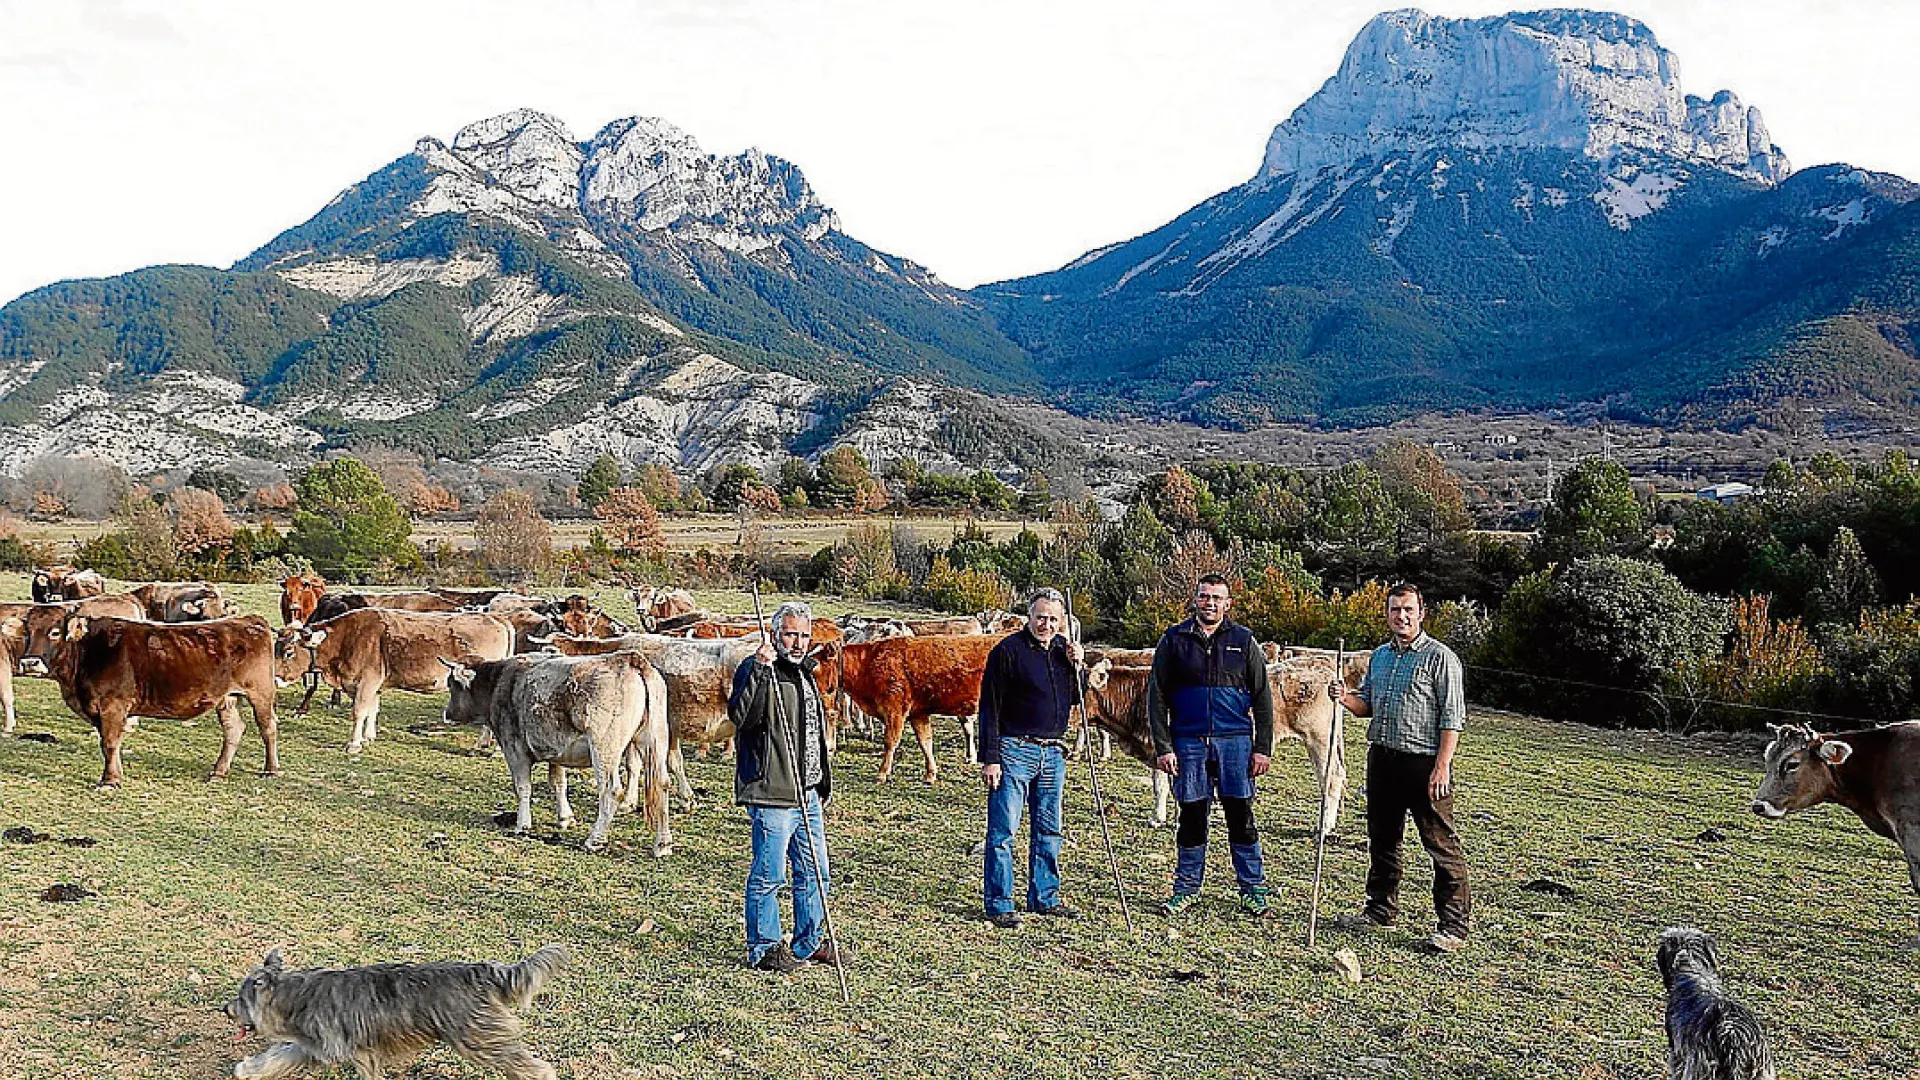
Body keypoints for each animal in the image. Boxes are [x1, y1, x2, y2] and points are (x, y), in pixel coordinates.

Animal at [17, 614, 278, 780]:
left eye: (54, 632)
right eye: (28, 632)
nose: (29, 662)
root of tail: (248, 621)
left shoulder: (113, 704)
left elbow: (109, 742)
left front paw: (109, 780)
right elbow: (112, 743)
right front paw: (117, 775)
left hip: (261, 694)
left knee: (268, 727)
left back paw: (271, 769)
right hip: (227, 697)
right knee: (234, 729)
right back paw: (218, 772)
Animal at [225, 937, 564, 1068]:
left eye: (241, 998)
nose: (225, 1009)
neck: (296, 997)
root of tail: (480, 970)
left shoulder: (357, 1052)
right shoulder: (316, 1046)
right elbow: (281, 1056)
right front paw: (249, 1070)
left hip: (478, 1039)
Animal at [272, 607, 510, 749]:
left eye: (289, 652)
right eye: (276, 647)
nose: (273, 678)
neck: (347, 638)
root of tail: (495, 617)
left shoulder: (366, 681)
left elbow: (359, 711)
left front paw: (354, 744)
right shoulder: (375, 684)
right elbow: (372, 710)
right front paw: (368, 737)